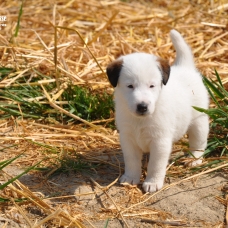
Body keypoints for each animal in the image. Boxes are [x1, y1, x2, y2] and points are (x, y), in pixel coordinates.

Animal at [106, 29, 209, 192]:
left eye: (152, 86)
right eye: (130, 86)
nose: (142, 106)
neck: (141, 120)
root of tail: (185, 67)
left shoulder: (160, 141)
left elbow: (156, 165)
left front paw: (152, 182)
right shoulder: (128, 138)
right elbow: (131, 161)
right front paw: (130, 177)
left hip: (199, 122)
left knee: (199, 142)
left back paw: (194, 159)